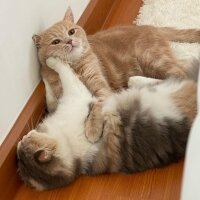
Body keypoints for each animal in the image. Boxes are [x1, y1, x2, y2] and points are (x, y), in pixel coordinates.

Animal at [17, 57, 197, 191]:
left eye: (26, 139)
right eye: (20, 153)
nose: (19, 142)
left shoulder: (73, 98)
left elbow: (55, 85)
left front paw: (48, 63)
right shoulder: (75, 96)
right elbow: (63, 72)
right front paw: (51, 61)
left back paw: (135, 79)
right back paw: (135, 80)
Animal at [32, 7, 200, 142]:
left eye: (71, 31)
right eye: (56, 42)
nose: (69, 41)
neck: (75, 67)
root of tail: (151, 27)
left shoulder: (101, 89)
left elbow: (97, 106)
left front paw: (92, 128)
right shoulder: (60, 97)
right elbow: (50, 100)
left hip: (153, 59)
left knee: (181, 76)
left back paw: (137, 82)